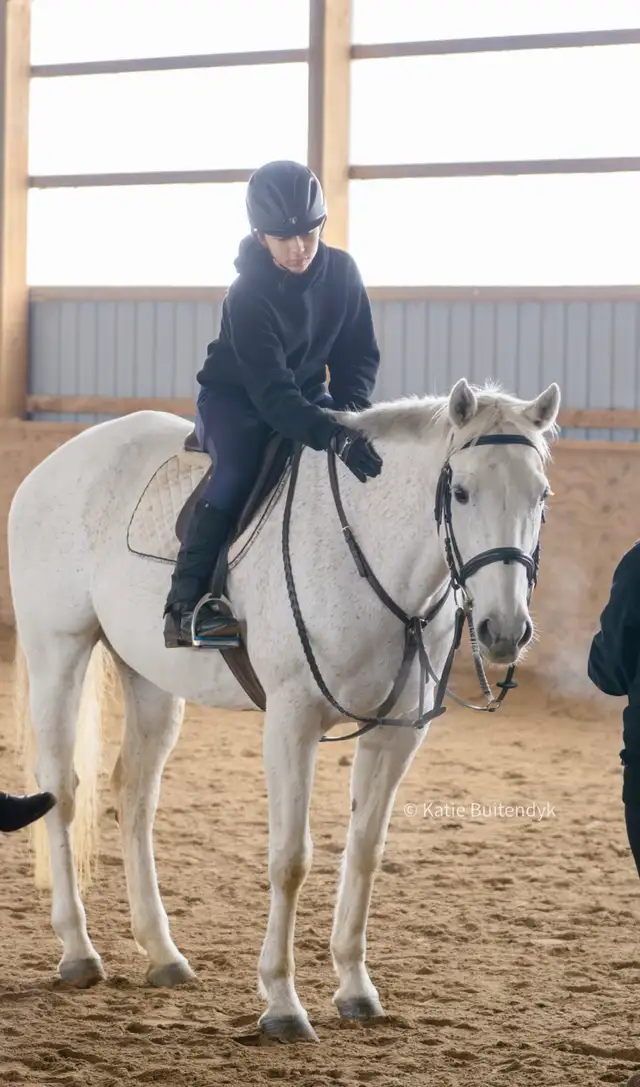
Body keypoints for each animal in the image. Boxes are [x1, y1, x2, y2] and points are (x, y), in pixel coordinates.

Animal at [8, 377, 560, 1042]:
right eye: (461, 491)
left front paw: (355, 989)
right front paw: (281, 1003)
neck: (372, 555)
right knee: (62, 789)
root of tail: (55, 464)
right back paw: (78, 951)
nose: (503, 632)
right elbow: (291, 858)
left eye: (540, 495)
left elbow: (366, 851)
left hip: (149, 677)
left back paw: (163, 954)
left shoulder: (396, 735)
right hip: (57, 647)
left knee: (134, 795)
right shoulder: (292, 720)